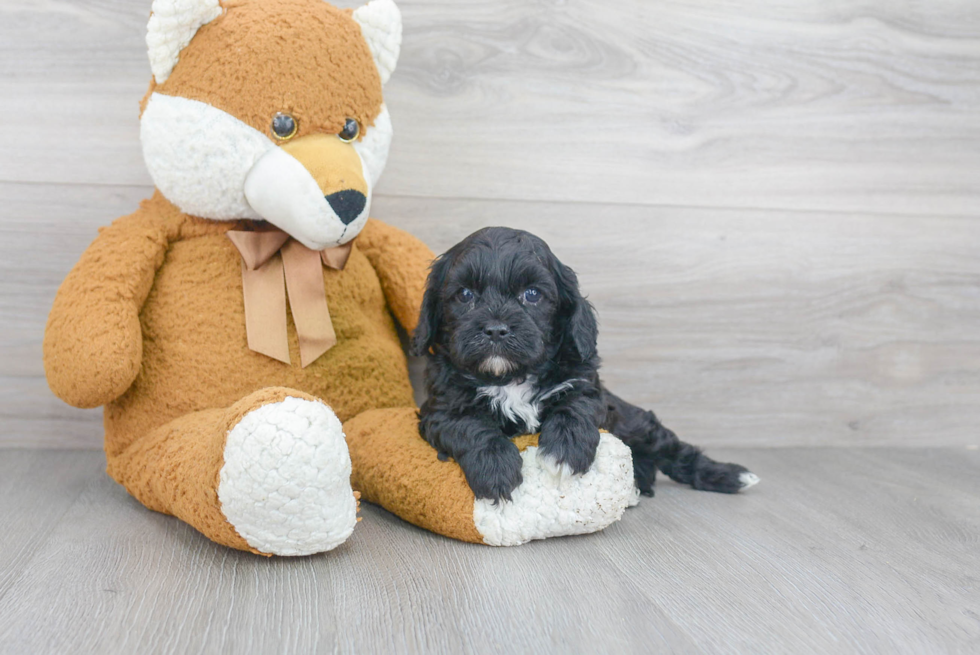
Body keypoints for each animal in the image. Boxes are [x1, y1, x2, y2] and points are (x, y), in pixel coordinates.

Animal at [412, 228, 756, 504]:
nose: (496, 329)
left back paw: (729, 475)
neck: (510, 376)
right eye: (464, 294)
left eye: (532, 294)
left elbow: (575, 406)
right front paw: (495, 469)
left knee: (672, 449)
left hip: (635, 423)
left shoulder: (587, 385)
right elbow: (470, 425)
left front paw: (565, 451)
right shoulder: (440, 410)